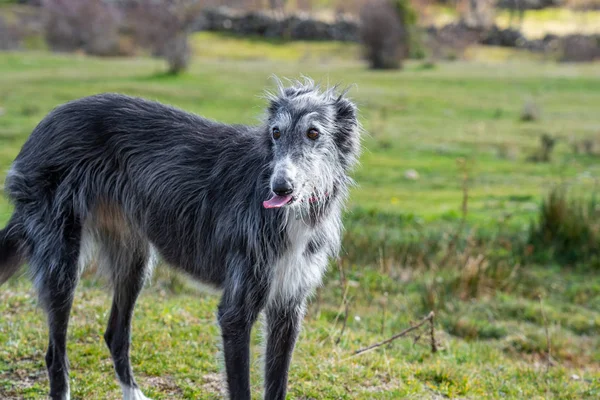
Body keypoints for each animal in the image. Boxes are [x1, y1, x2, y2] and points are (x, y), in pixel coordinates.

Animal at [0, 79, 358, 400]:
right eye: (276, 132)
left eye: (313, 133)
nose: (280, 186)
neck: (293, 214)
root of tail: (44, 125)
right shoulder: (236, 311)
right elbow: (241, 386)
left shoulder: (288, 308)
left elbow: (277, 385)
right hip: (62, 260)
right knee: (54, 353)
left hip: (134, 260)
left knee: (115, 334)